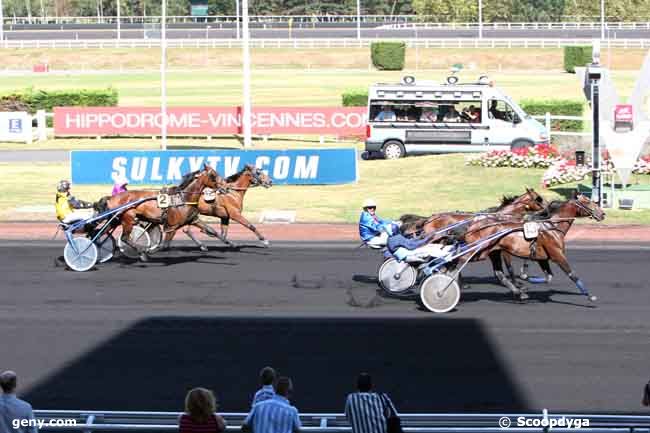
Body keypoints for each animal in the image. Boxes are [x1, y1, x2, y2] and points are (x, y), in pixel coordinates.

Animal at [456, 192, 604, 300]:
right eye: (587, 201)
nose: (602, 214)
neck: (551, 227)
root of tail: (473, 225)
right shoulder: (557, 255)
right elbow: (572, 275)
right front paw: (589, 295)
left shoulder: (542, 258)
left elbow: (548, 277)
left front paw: (526, 279)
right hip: (478, 251)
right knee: (459, 262)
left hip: (493, 252)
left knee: (499, 274)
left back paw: (519, 293)